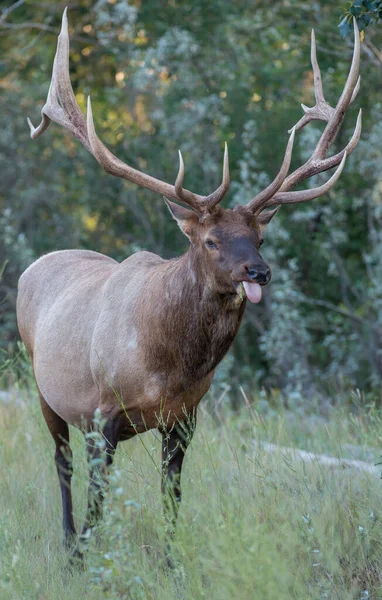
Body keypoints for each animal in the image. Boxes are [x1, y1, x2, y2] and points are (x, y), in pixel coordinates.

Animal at [16, 10, 362, 556]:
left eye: (259, 236)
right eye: (211, 241)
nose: (259, 272)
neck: (167, 366)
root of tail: (34, 264)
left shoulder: (185, 418)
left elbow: (172, 497)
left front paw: (172, 561)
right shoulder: (102, 411)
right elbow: (98, 499)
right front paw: (91, 556)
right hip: (43, 387)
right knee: (61, 464)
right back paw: (69, 546)